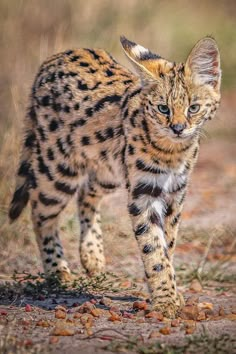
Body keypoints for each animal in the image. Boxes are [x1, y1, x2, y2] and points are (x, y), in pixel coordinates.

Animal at [8, 36, 220, 318]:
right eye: (163, 108)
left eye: (193, 108)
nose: (177, 128)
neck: (172, 152)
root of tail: (56, 56)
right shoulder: (144, 193)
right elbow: (153, 247)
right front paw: (165, 300)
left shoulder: (176, 194)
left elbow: (168, 244)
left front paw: (170, 294)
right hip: (59, 168)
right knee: (40, 210)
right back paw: (58, 271)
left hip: (107, 170)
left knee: (86, 193)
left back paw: (92, 255)